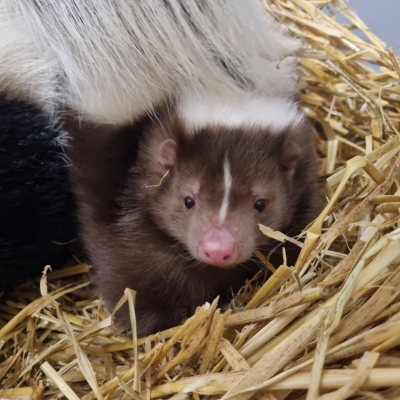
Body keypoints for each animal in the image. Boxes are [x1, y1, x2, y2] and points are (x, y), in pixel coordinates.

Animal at [0, 0, 318, 334]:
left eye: (260, 203)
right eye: (188, 200)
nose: (217, 248)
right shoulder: (119, 207)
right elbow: (133, 276)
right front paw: (147, 325)